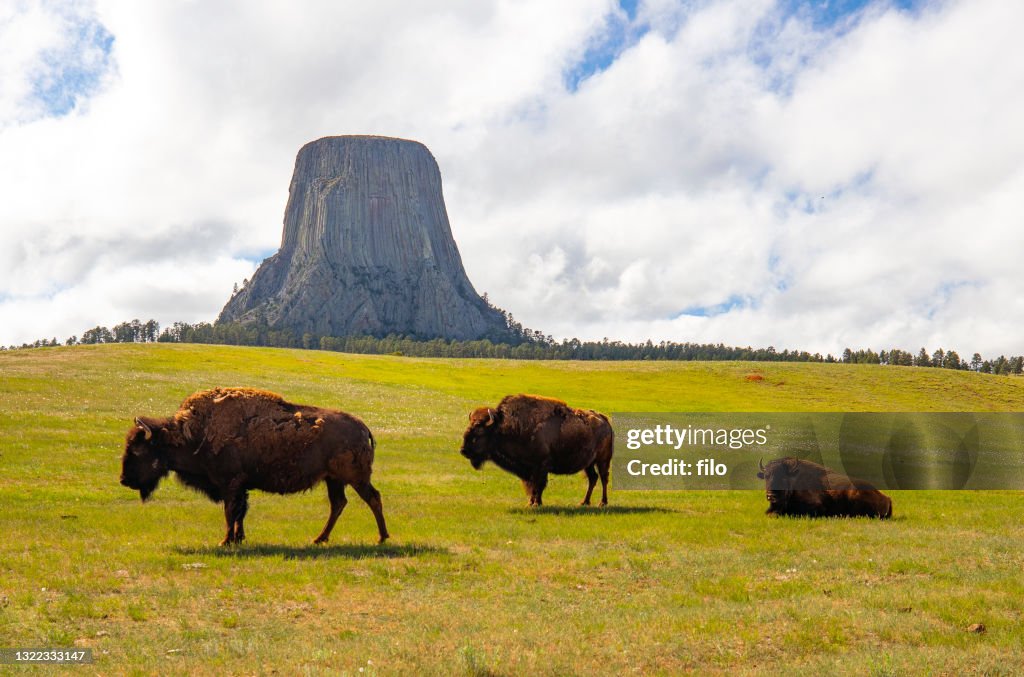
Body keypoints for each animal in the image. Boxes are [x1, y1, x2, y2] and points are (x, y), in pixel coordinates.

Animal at [119, 385, 389, 544]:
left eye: (138, 450)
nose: (124, 480)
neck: (194, 433)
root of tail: (363, 427)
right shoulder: (241, 486)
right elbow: (241, 512)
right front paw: (238, 538)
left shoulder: (230, 484)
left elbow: (231, 511)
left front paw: (226, 541)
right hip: (333, 479)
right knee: (339, 504)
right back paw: (319, 539)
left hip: (355, 478)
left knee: (372, 498)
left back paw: (382, 537)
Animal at [460, 393, 610, 503]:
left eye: (479, 432)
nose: (463, 451)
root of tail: (604, 419)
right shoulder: (530, 470)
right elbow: (533, 486)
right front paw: (531, 502)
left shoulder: (541, 466)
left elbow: (539, 485)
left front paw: (536, 503)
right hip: (589, 463)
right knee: (593, 478)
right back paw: (584, 502)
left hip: (602, 460)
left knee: (603, 478)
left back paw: (602, 503)